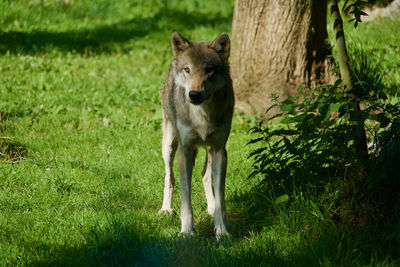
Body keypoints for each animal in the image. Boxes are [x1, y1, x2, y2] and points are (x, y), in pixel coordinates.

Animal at [158, 31, 234, 239]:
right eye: (187, 70)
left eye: (209, 70)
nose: (193, 94)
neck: (202, 116)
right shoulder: (185, 150)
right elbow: (186, 200)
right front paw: (186, 231)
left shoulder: (220, 150)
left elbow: (221, 198)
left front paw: (221, 231)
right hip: (169, 146)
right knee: (169, 177)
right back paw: (166, 210)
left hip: (208, 150)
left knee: (205, 175)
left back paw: (210, 208)